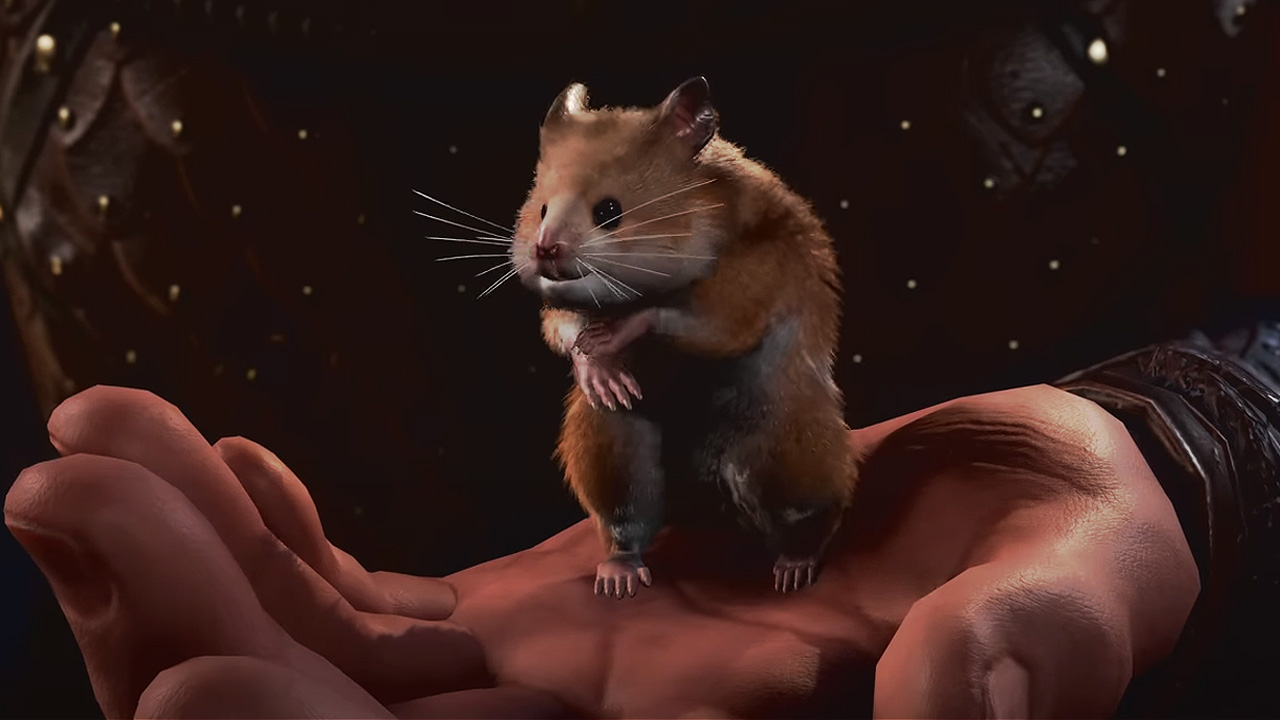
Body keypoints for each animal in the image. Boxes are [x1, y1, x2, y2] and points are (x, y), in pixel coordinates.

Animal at [512, 77, 857, 598]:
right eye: (541, 207)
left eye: (609, 211)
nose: (544, 251)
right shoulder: (561, 309)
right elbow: (562, 324)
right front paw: (605, 376)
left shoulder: (749, 285)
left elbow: (689, 317)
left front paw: (612, 338)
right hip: (612, 451)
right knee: (625, 523)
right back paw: (618, 578)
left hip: (786, 448)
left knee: (817, 512)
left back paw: (793, 570)